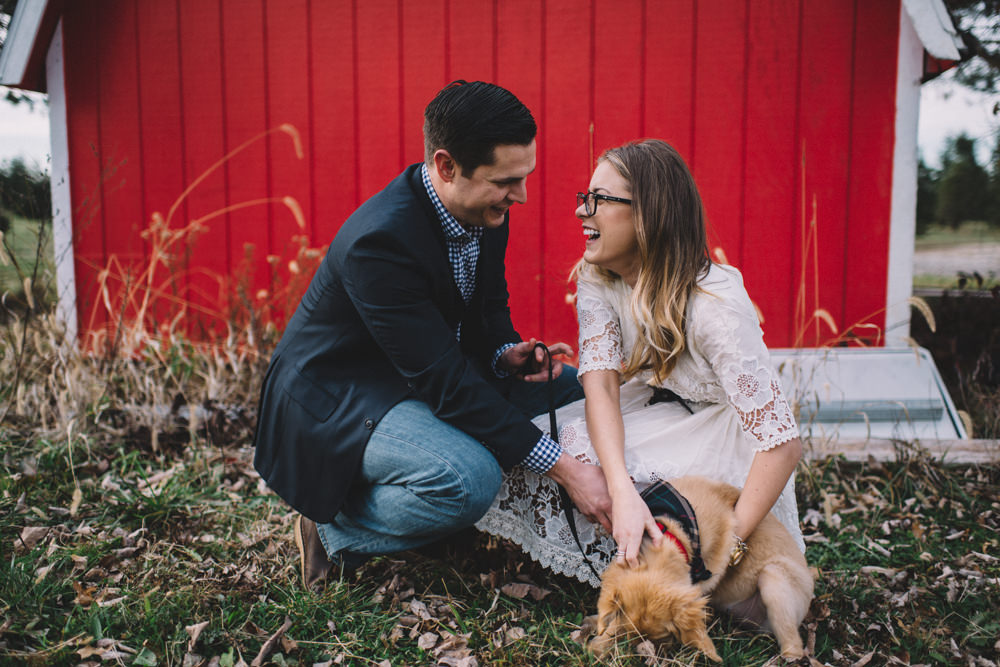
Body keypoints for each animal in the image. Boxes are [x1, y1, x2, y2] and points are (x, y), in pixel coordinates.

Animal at [584, 474, 812, 664]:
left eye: (664, 636)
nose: (646, 654)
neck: (674, 529)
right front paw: (599, 637)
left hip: (773, 578)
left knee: (794, 645)